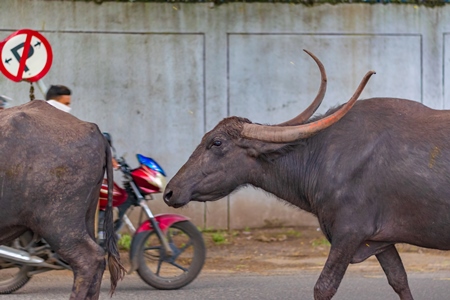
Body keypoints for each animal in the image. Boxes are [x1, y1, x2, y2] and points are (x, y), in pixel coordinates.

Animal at [161, 50, 446, 298]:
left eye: (217, 142)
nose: (170, 191)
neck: (323, 157)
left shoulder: (348, 233)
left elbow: (324, 287)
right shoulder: (379, 241)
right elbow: (399, 280)